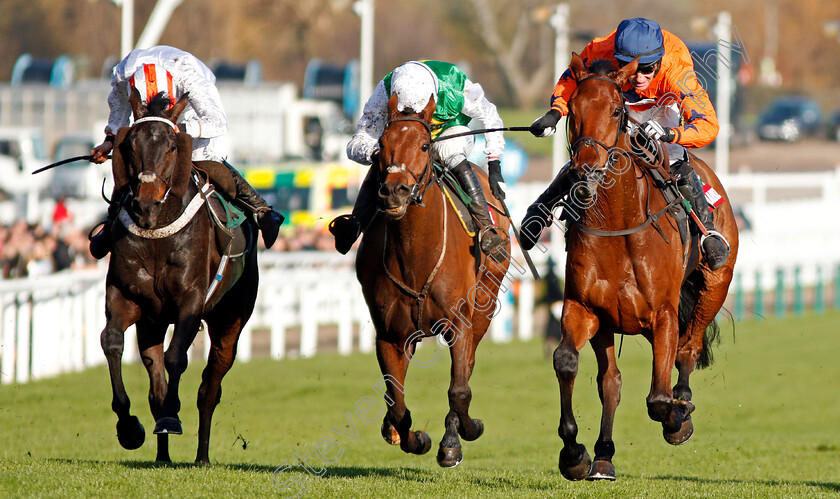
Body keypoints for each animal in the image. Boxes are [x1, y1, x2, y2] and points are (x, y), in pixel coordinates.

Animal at [99, 89, 258, 464]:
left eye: (172, 145)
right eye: (130, 145)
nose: (145, 202)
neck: (156, 231)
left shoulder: (191, 300)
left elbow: (176, 358)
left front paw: (172, 417)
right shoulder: (125, 295)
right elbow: (112, 341)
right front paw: (129, 427)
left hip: (230, 320)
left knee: (210, 386)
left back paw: (201, 456)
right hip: (152, 322)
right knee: (155, 380)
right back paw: (162, 457)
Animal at [356, 94, 512, 468]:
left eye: (425, 145)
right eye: (381, 145)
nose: (394, 191)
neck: (415, 255)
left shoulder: (460, 324)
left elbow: (459, 389)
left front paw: (463, 433)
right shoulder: (390, 335)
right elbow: (396, 402)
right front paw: (412, 437)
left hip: (484, 306)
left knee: (466, 368)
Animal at [552, 56, 740, 482]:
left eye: (616, 111)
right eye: (573, 110)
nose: (585, 172)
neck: (617, 226)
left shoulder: (664, 316)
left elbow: (658, 398)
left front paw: (676, 418)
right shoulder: (584, 308)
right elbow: (567, 361)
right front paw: (575, 453)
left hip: (713, 285)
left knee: (688, 350)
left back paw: (682, 407)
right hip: (606, 325)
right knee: (611, 382)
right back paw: (603, 456)